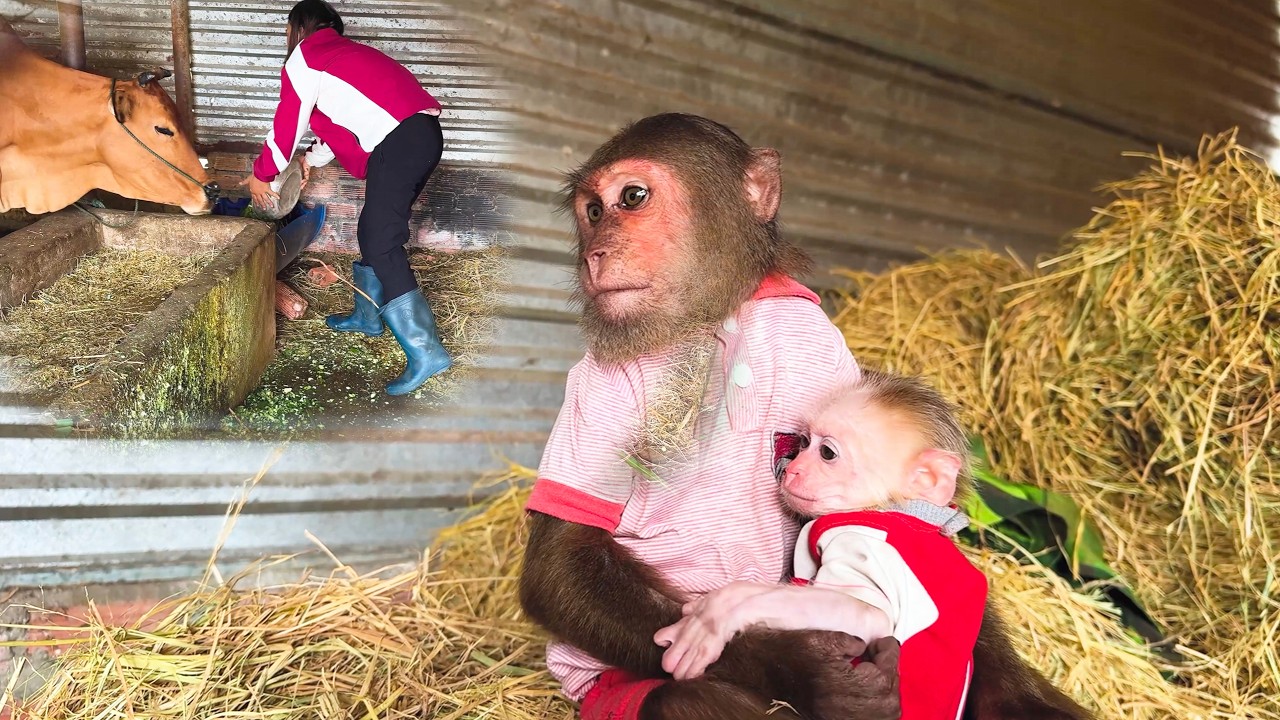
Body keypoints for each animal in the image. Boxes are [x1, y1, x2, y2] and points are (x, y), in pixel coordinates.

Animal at [517, 113, 1092, 720]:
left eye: (631, 197)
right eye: (592, 211)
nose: (595, 252)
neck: (717, 315)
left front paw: (1014, 690)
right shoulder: (598, 383)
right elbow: (564, 564)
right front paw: (811, 673)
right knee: (687, 701)